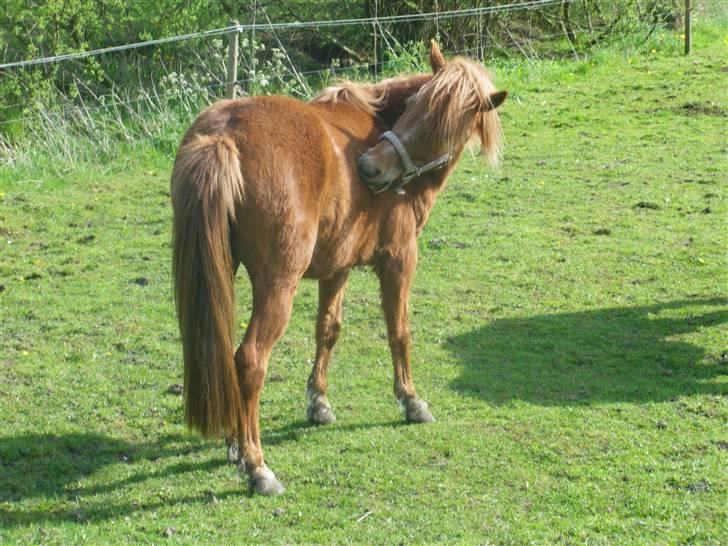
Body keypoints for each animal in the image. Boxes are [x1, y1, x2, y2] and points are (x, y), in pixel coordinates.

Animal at [172, 42, 506, 492]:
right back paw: (256, 464)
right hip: (278, 286)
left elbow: (328, 330)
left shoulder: (337, 267)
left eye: (441, 126)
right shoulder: (400, 258)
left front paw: (319, 402)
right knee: (249, 361)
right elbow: (399, 331)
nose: (370, 167)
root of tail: (225, 134)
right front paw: (410, 400)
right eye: (415, 109)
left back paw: (235, 443)